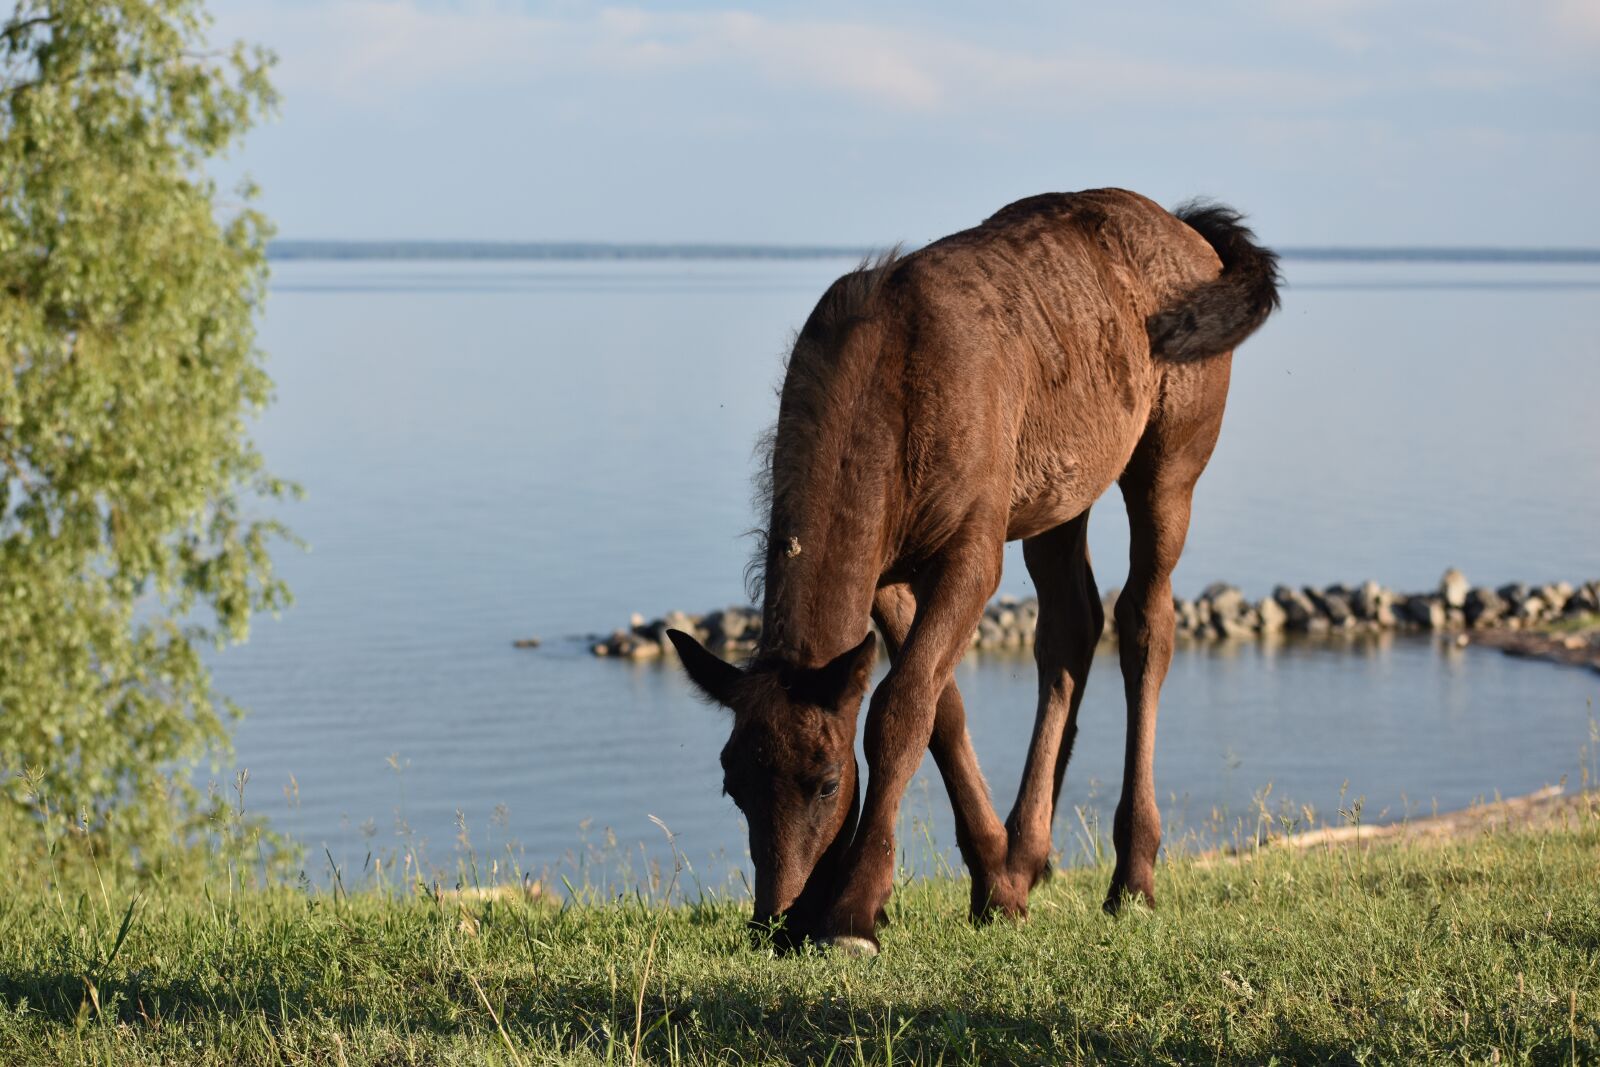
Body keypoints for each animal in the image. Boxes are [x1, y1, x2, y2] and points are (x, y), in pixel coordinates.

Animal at [668, 188, 1280, 956]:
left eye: (827, 780)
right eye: (733, 783)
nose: (777, 921)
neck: (887, 404)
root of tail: (1192, 233)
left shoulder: (971, 550)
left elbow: (900, 708)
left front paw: (856, 910)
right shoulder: (889, 576)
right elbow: (941, 708)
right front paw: (997, 883)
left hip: (1171, 461)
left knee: (1147, 622)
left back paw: (1133, 876)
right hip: (1057, 501)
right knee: (1070, 628)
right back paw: (1030, 853)